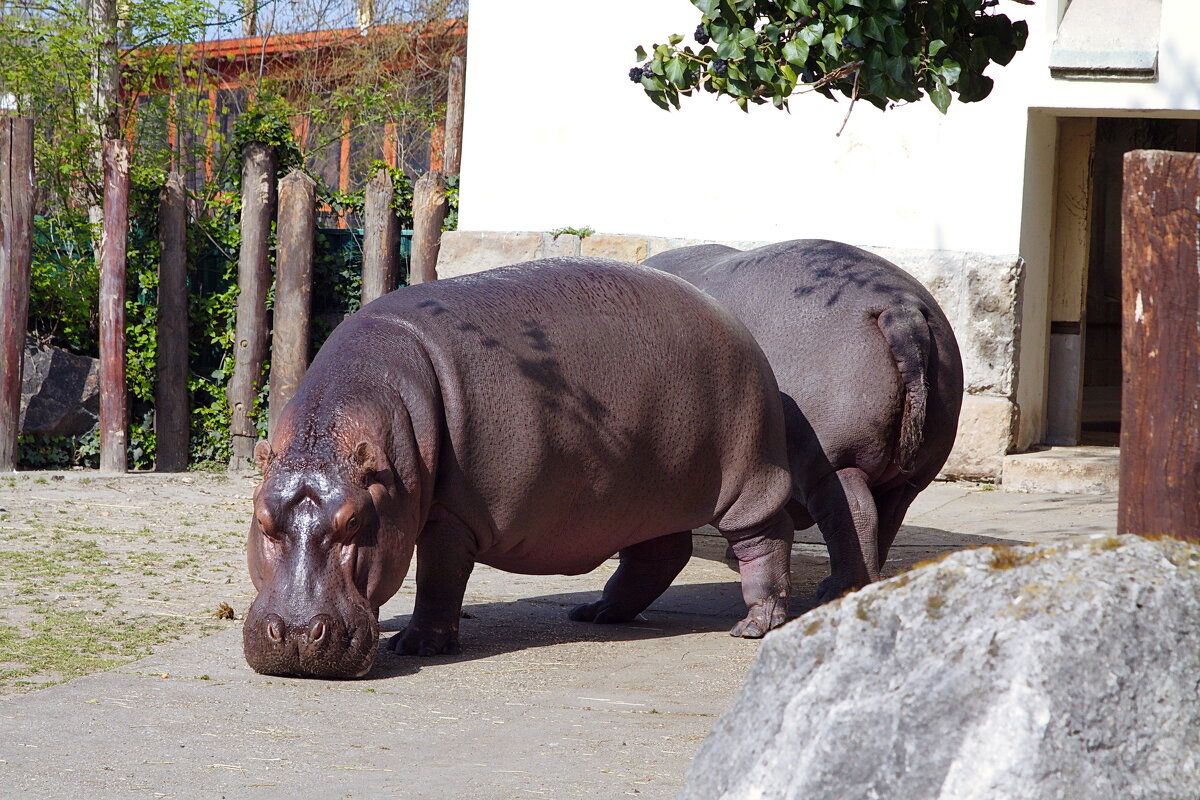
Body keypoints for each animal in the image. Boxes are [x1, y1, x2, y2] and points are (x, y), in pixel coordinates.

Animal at [243, 256, 796, 676]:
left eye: (354, 521)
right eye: (263, 519)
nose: (296, 635)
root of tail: (732, 319)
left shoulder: (452, 517)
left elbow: (438, 578)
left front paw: (417, 644)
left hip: (749, 475)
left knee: (765, 537)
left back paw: (755, 625)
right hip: (648, 497)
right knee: (660, 554)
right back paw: (596, 613)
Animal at [648, 241, 964, 604]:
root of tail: (900, 308)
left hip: (834, 464)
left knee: (854, 515)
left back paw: (832, 590)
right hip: (909, 474)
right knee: (886, 520)